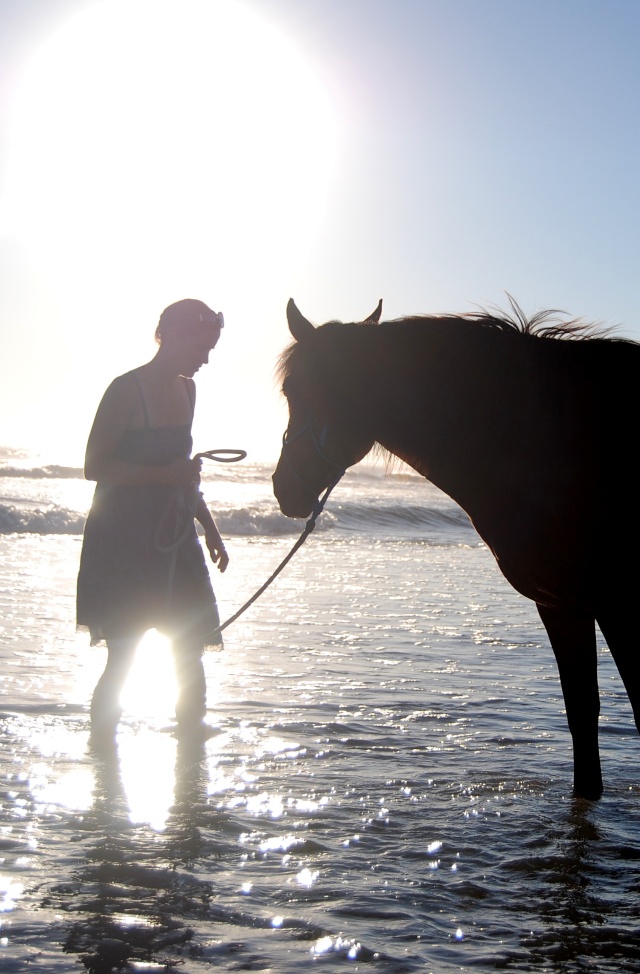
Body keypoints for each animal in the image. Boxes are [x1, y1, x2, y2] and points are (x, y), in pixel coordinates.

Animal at [272, 298, 640, 800]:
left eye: (310, 389)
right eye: (290, 389)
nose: (284, 488)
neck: (551, 437)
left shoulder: (619, 605)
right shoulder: (562, 604)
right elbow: (581, 713)